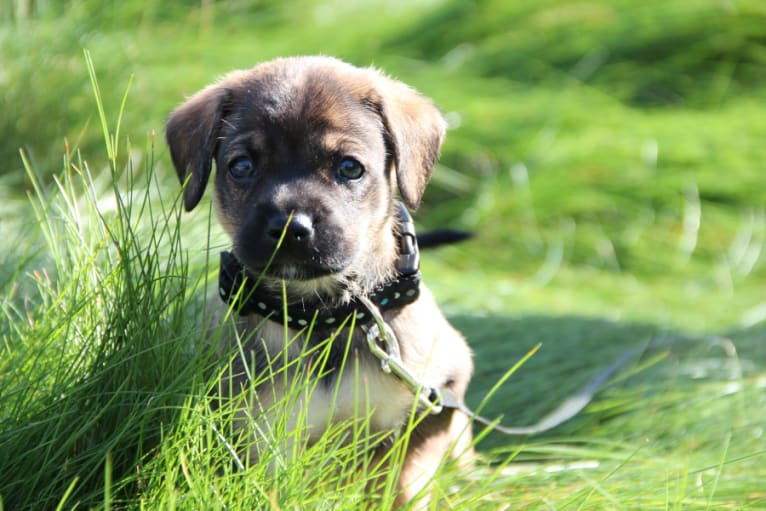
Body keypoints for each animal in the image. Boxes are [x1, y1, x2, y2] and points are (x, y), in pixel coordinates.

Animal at [166, 57, 474, 508]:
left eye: (349, 167)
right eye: (242, 167)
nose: (290, 227)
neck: (323, 317)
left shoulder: (433, 404)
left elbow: (403, 485)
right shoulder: (257, 435)